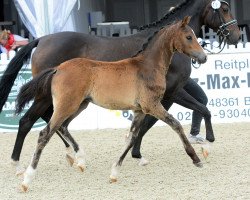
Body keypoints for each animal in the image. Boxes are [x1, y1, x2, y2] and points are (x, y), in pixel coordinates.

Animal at [16, 16, 207, 191]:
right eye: (189, 37)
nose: (204, 57)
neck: (147, 66)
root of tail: (58, 69)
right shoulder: (152, 105)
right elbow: (176, 125)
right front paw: (196, 159)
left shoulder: (140, 110)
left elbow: (131, 138)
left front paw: (114, 172)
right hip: (66, 106)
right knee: (44, 133)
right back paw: (26, 179)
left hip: (79, 105)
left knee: (62, 127)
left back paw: (80, 160)